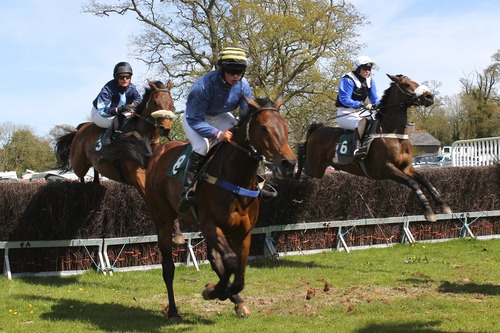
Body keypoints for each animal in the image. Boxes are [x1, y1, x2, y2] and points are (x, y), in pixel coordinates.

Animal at [143, 96, 294, 322]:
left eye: (286, 128)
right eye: (264, 128)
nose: (289, 164)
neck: (236, 179)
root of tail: (159, 152)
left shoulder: (243, 231)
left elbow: (239, 270)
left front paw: (232, 296)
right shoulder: (211, 225)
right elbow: (230, 261)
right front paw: (214, 291)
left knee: (214, 259)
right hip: (163, 219)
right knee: (168, 267)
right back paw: (173, 312)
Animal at [294, 74, 452, 222]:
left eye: (415, 82)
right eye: (406, 84)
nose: (429, 97)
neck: (394, 135)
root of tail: (317, 129)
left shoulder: (406, 167)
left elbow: (425, 181)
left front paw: (443, 205)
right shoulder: (386, 168)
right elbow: (412, 183)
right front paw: (428, 210)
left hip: (318, 170)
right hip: (315, 167)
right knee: (302, 157)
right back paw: (294, 176)